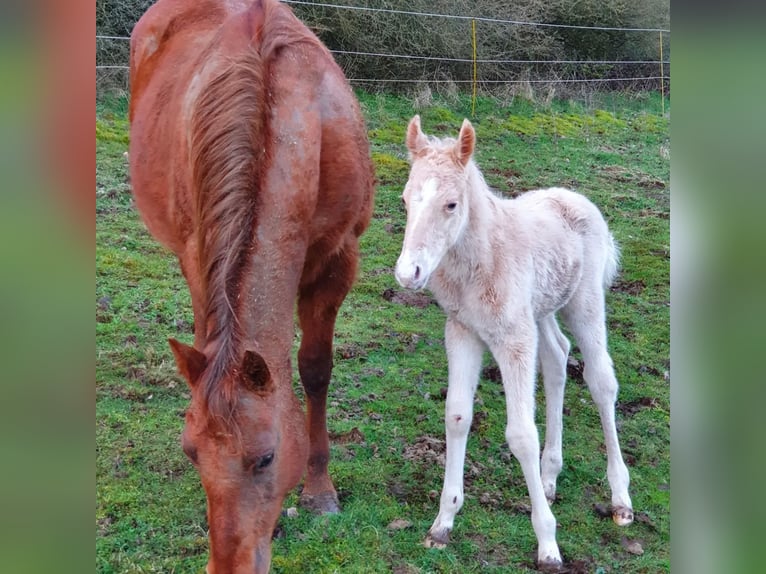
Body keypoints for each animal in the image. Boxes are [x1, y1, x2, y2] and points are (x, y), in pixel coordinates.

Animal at [128, 1, 376, 572]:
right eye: (190, 451)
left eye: (266, 457)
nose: (229, 565)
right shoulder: (198, 257)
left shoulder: (339, 261)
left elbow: (315, 370)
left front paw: (319, 491)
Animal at [392, 117, 632, 572]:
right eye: (405, 200)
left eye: (451, 204)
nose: (408, 273)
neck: (481, 260)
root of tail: (575, 197)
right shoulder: (463, 331)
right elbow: (457, 416)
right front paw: (443, 522)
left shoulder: (514, 339)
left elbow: (521, 433)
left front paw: (548, 544)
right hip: (541, 311)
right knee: (557, 357)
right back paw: (550, 475)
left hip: (584, 304)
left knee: (601, 380)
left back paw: (620, 499)